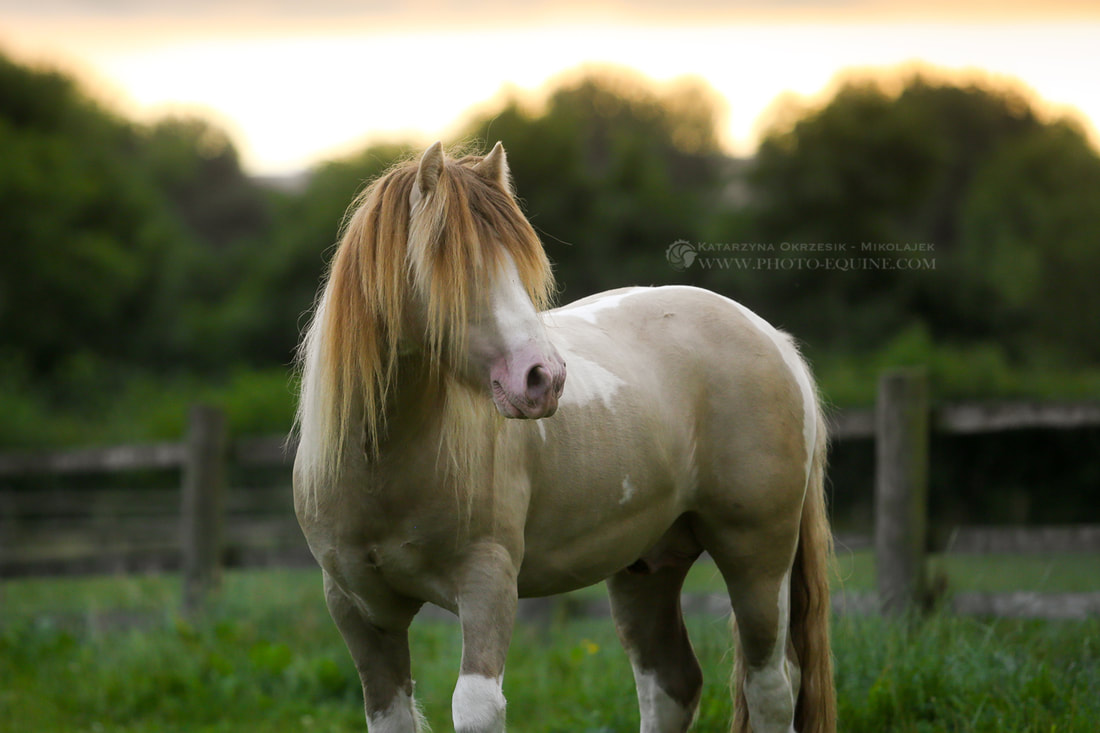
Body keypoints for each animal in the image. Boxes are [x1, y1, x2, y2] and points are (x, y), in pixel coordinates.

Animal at [292, 139, 831, 726]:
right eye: (452, 265)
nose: (543, 379)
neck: (382, 463)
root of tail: (771, 338)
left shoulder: (487, 583)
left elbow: (475, 707)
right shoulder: (360, 611)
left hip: (757, 557)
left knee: (771, 687)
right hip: (647, 567)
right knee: (671, 683)